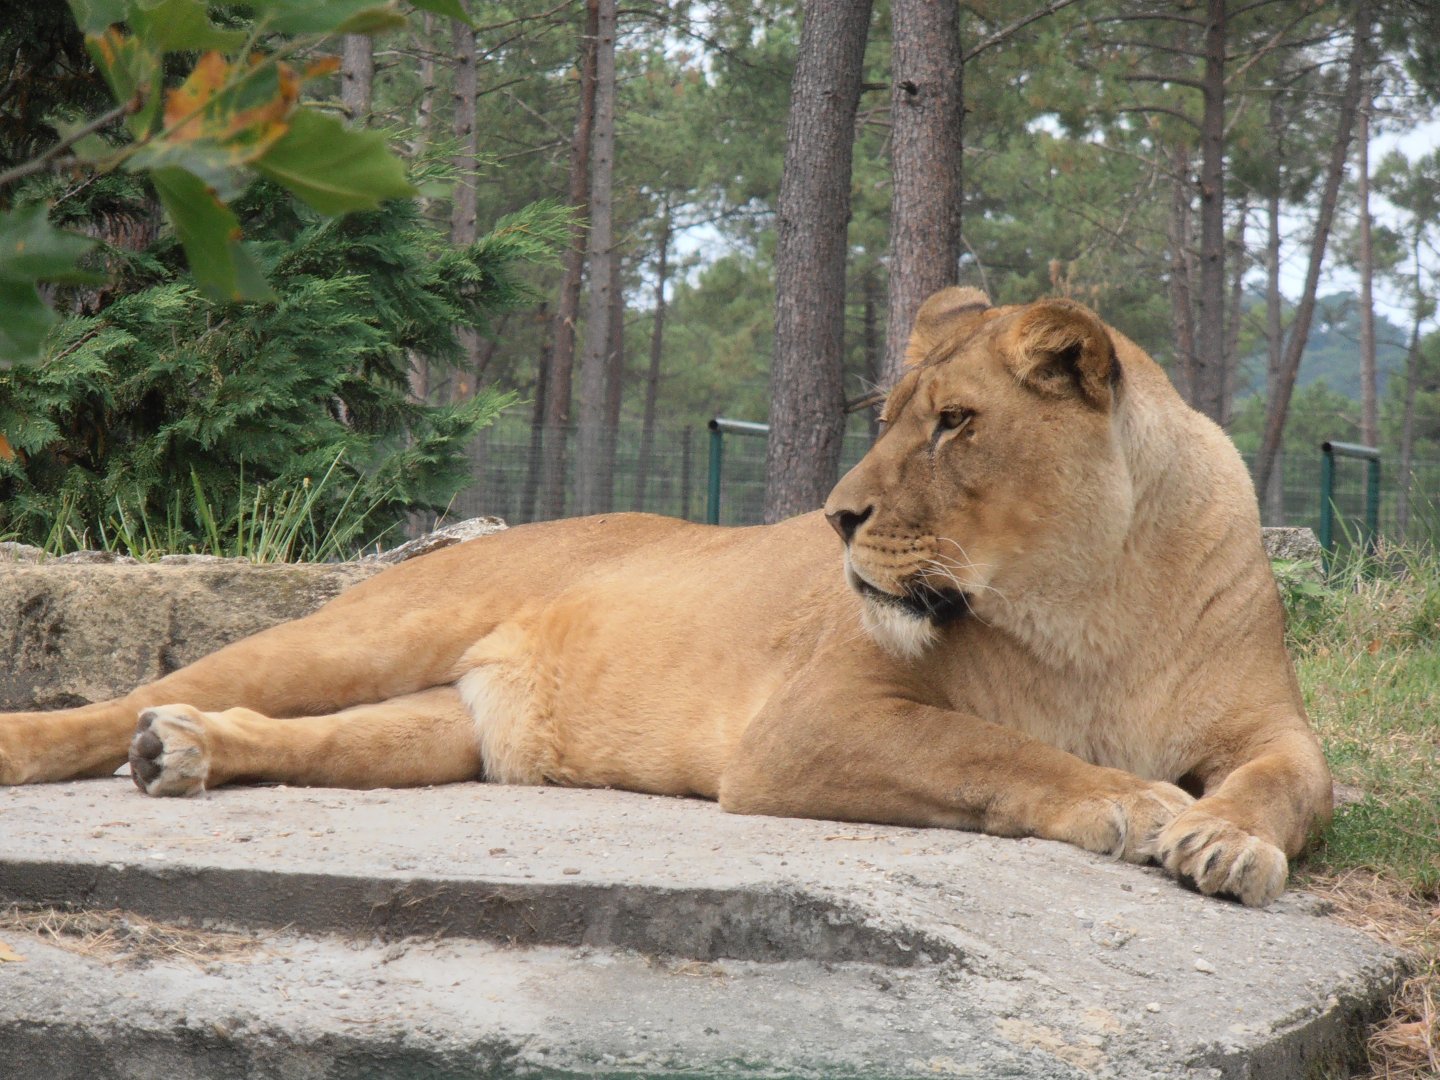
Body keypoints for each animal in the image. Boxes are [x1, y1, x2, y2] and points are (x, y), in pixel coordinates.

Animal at [0, 289, 1331, 907]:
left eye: (956, 423)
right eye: (890, 417)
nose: (836, 516)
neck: (1093, 597)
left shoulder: (1275, 726)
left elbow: (1289, 786)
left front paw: (1227, 840)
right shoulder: (807, 727)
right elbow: (996, 750)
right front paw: (1132, 800)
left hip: (440, 731)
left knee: (292, 737)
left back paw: (181, 753)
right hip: (361, 635)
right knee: (142, 692)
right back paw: (64, 744)